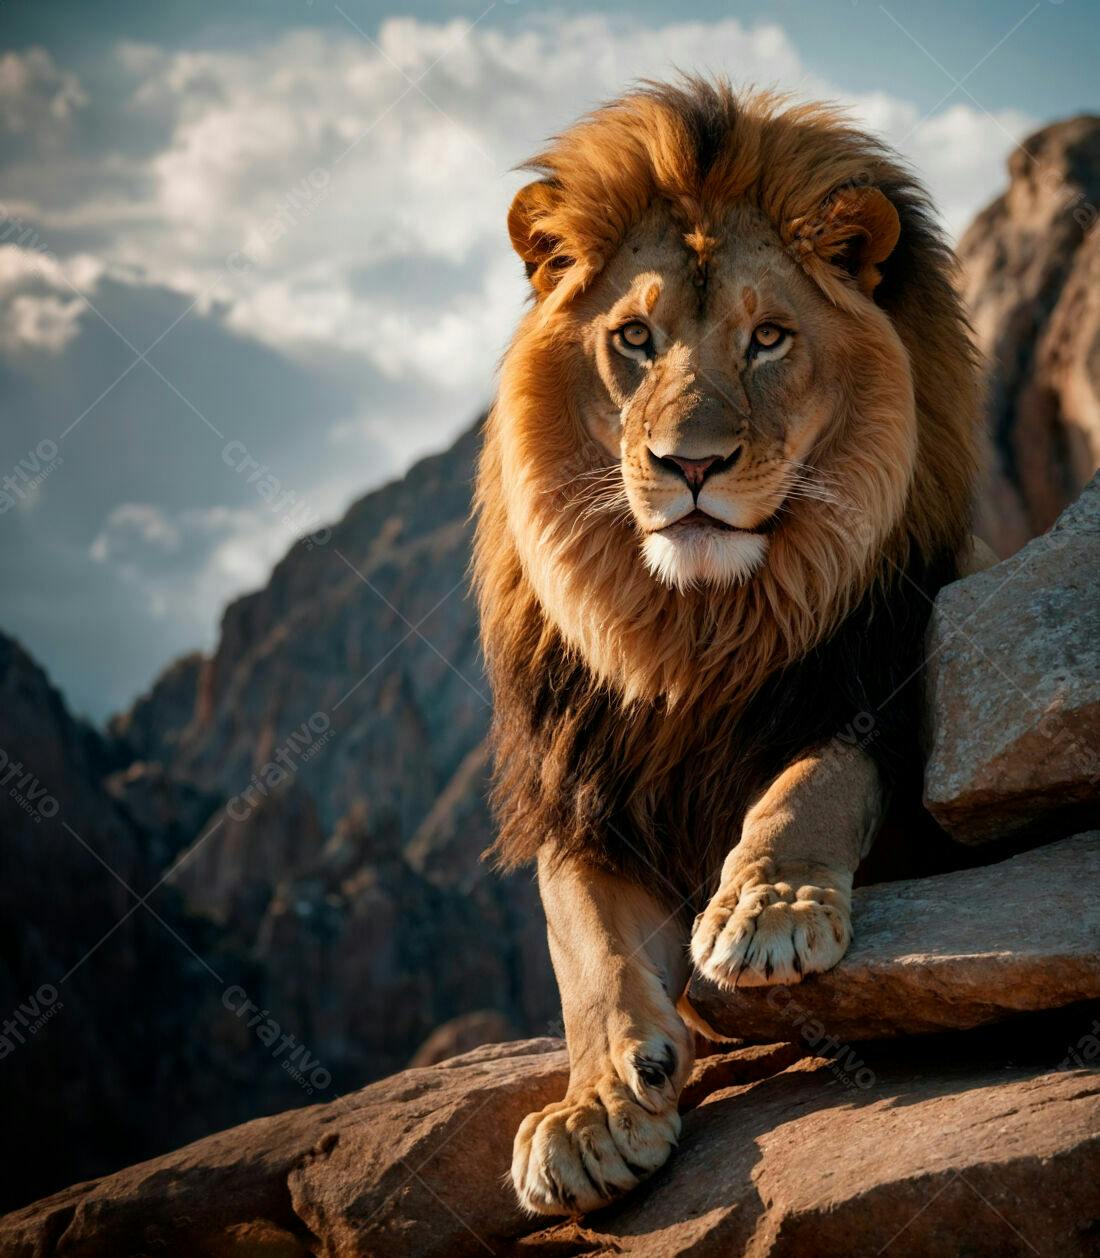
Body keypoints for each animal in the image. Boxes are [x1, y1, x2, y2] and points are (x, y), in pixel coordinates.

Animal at [473, 79, 983, 1216]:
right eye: (633, 337)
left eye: (768, 338)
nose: (689, 464)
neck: (693, 632)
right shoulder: (585, 793)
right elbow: (587, 952)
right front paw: (590, 1109)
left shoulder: (874, 702)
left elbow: (807, 787)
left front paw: (764, 909)